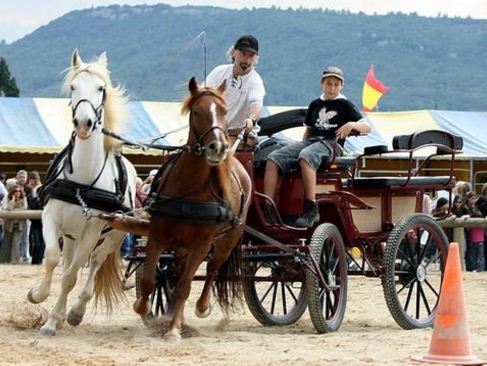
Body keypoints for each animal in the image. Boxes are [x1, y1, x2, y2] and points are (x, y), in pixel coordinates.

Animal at [27, 50, 137, 336]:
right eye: (73, 87)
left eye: (101, 88)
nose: (84, 123)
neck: (83, 183)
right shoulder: (50, 218)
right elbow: (51, 258)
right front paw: (38, 295)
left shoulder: (92, 232)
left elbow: (70, 278)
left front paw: (54, 319)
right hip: (71, 234)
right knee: (67, 261)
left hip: (113, 236)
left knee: (95, 262)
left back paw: (75, 311)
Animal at [135, 77, 254, 344]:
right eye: (197, 111)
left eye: (224, 111)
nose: (218, 147)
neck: (189, 190)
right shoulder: (157, 235)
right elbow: (149, 279)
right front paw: (143, 307)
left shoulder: (202, 243)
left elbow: (185, 287)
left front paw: (173, 330)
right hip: (181, 246)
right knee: (177, 272)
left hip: (227, 240)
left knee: (211, 271)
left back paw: (199, 308)